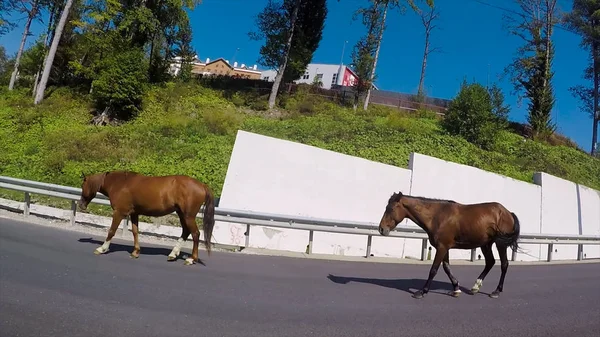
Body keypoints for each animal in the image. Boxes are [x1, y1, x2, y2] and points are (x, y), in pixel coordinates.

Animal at [78, 171, 216, 266]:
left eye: (83, 185)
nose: (81, 205)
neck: (120, 183)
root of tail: (202, 185)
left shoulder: (119, 213)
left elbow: (111, 231)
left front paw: (102, 248)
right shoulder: (134, 214)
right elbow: (135, 232)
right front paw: (135, 252)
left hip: (188, 216)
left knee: (195, 234)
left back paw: (191, 259)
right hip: (182, 214)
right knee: (186, 232)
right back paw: (173, 254)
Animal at [378, 190, 516, 298]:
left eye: (390, 209)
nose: (381, 229)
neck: (437, 216)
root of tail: (508, 213)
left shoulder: (442, 248)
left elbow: (434, 269)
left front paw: (422, 292)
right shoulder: (445, 248)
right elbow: (446, 268)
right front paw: (456, 289)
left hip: (500, 244)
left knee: (504, 264)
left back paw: (496, 291)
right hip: (485, 244)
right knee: (490, 262)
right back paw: (475, 287)